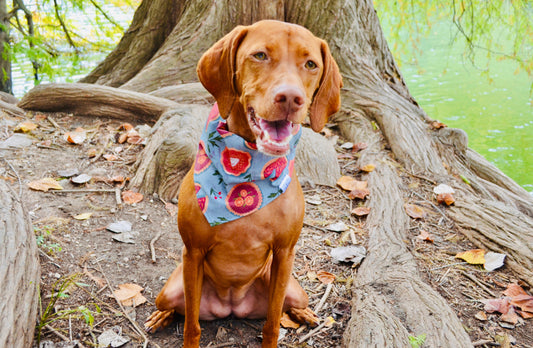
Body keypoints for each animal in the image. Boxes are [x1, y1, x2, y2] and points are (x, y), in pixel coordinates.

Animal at [143, 20, 340, 346]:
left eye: (311, 64)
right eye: (260, 55)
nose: (291, 98)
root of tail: (231, 306)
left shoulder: (284, 254)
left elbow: (272, 323)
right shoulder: (193, 252)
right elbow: (192, 325)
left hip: (294, 290)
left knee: (290, 305)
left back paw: (305, 314)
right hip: (170, 290)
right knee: (172, 306)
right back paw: (161, 316)